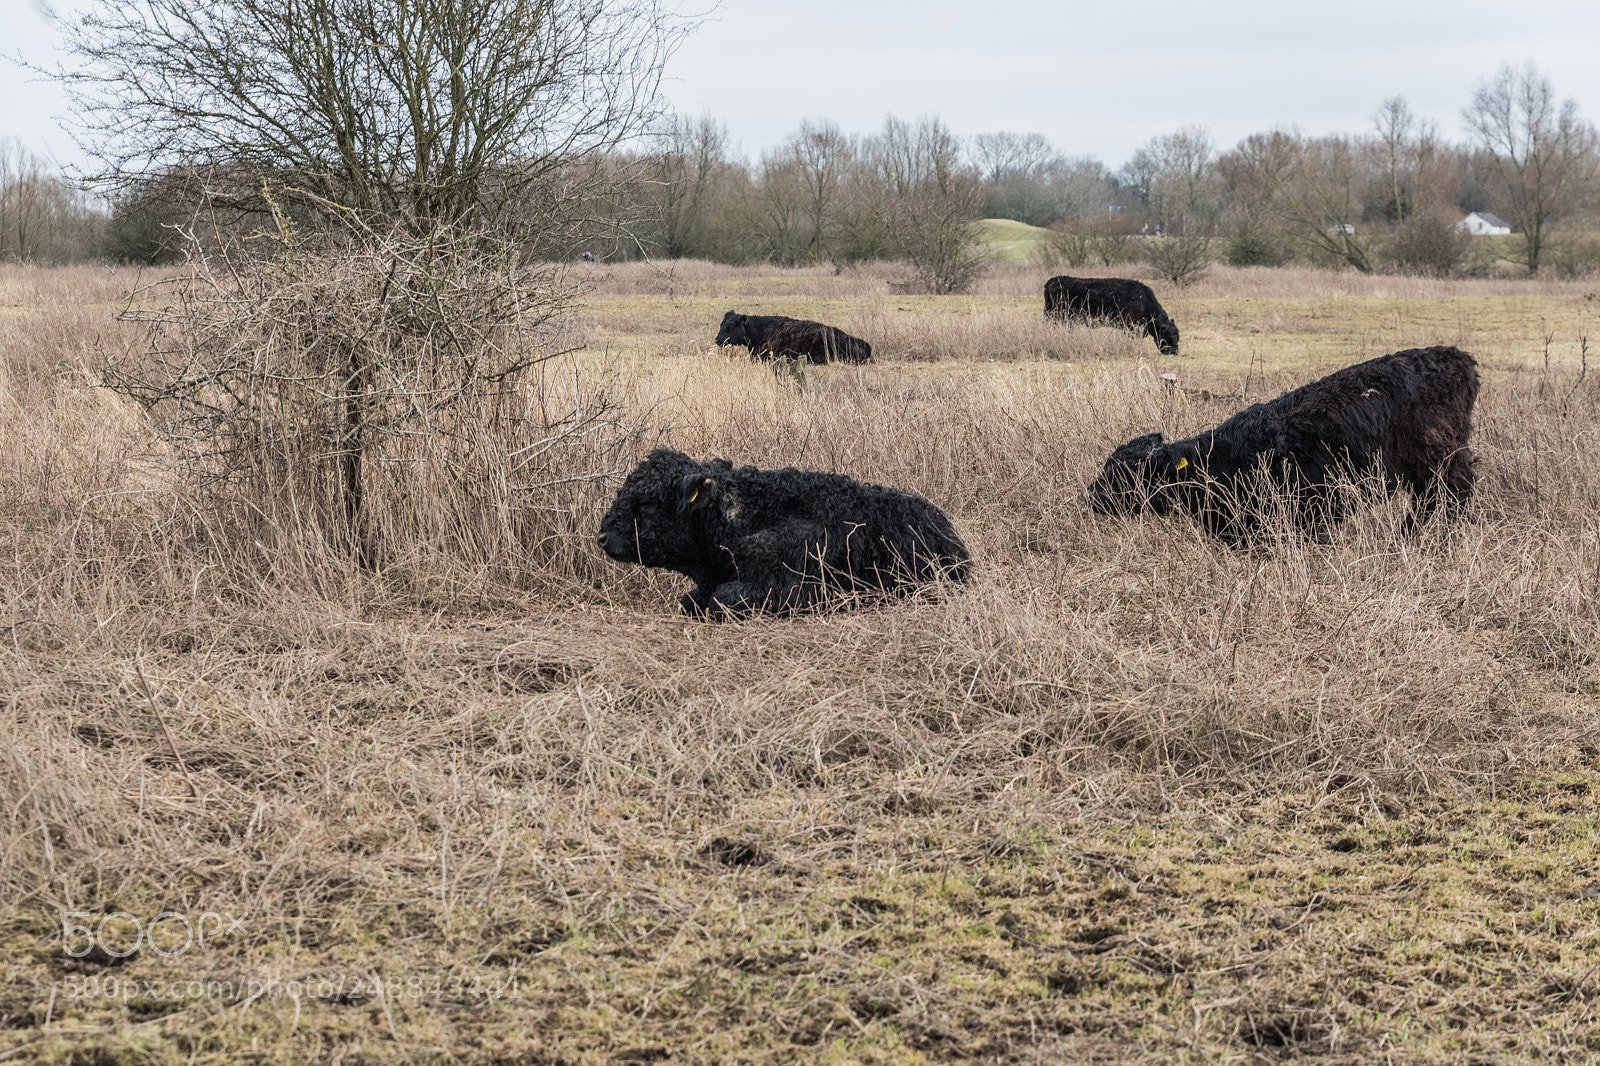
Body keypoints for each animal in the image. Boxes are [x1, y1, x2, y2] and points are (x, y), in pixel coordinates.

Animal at [1044, 276, 1180, 355]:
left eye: (1178, 337)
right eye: (1168, 337)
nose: (1174, 352)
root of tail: (1054, 280)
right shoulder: (1130, 326)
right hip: (1058, 316)